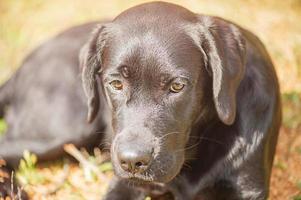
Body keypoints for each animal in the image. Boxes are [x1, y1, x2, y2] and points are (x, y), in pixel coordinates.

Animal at [0, 1, 282, 200]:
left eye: (177, 86)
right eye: (116, 84)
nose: (132, 161)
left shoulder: (244, 188)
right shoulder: (123, 185)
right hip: (63, 129)